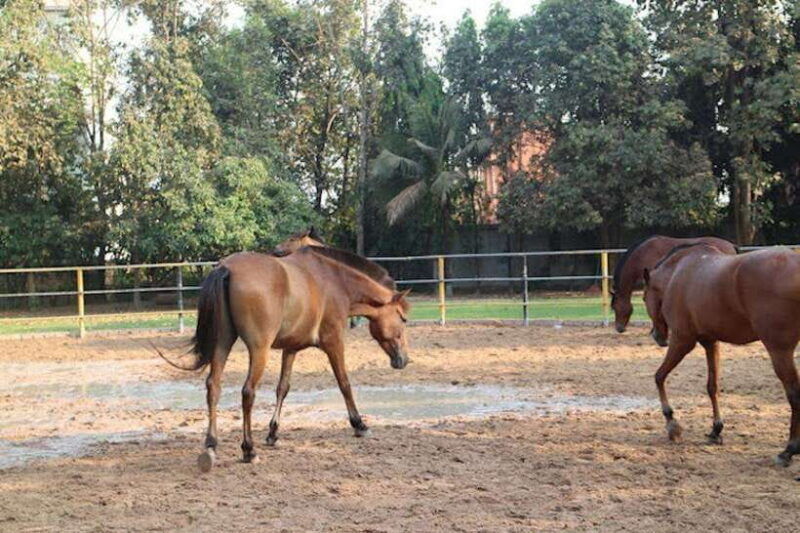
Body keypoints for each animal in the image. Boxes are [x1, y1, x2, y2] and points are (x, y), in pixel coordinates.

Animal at [158, 246, 411, 472]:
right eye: (402, 318)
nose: (404, 360)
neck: (334, 281)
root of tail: (225, 268)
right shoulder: (334, 343)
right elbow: (344, 384)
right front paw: (359, 425)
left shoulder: (291, 349)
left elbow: (283, 388)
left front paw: (273, 433)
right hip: (259, 350)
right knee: (247, 392)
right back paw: (248, 450)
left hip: (223, 343)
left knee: (213, 387)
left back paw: (211, 446)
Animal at [643, 243, 800, 466]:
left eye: (643, 297)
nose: (657, 336)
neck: (678, 273)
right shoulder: (710, 343)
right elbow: (712, 386)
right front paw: (716, 430)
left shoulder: (682, 341)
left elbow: (659, 376)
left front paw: (672, 424)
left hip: (779, 351)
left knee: (794, 394)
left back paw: (789, 450)